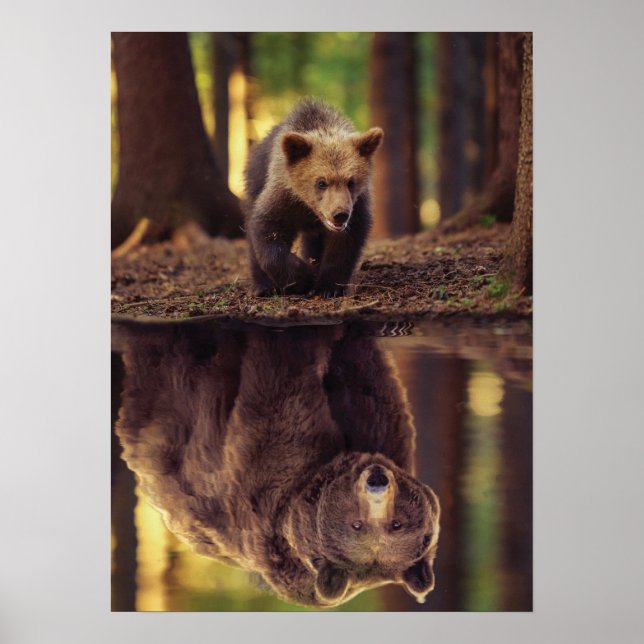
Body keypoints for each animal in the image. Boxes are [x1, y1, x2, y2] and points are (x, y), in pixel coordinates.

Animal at [243, 98, 383, 298]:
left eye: (351, 181)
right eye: (321, 182)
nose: (339, 214)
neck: (309, 209)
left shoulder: (357, 206)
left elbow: (344, 245)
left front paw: (328, 287)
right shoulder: (284, 198)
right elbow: (268, 231)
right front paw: (304, 278)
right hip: (255, 180)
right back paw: (263, 286)